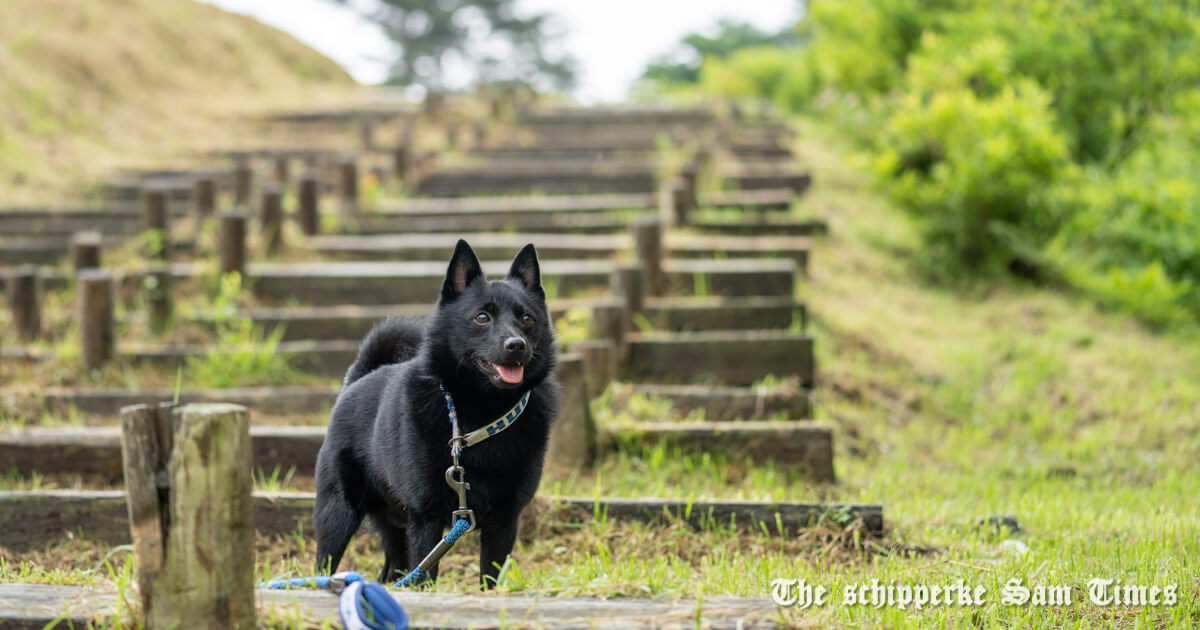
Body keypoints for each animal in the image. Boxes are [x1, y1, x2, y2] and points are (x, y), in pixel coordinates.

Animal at [319, 242, 561, 590]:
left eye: (528, 319)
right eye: (482, 317)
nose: (516, 345)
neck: (481, 414)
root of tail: (358, 378)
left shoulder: (505, 519)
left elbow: (490, 575)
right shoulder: (426, 517)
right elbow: (424, 575)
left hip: (394, 523)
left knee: (394, 566)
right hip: (338, 511)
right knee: (326, 560)